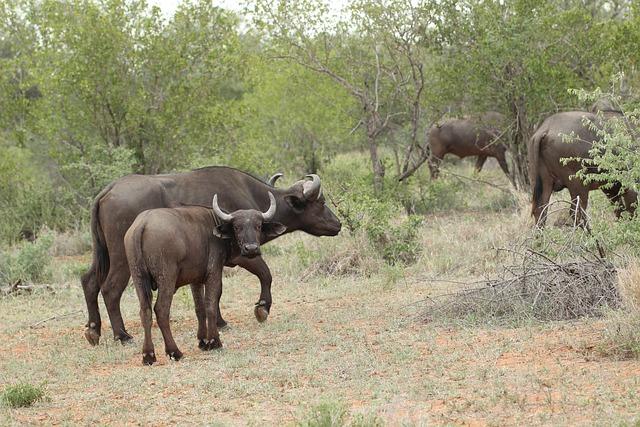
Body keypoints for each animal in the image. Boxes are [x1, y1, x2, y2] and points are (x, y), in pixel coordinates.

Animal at [82, 166, 342, 344]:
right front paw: (261, 308)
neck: (250, 195)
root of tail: (108, 191)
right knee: (110, 289)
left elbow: (215, 292)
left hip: (103, 254)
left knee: (89, 281)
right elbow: (265, 275)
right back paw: (122, 335)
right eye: (321, 202)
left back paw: (94, 329)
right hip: (122, 259)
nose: (338, 224)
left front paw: (218, 322)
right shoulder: (242, 254)